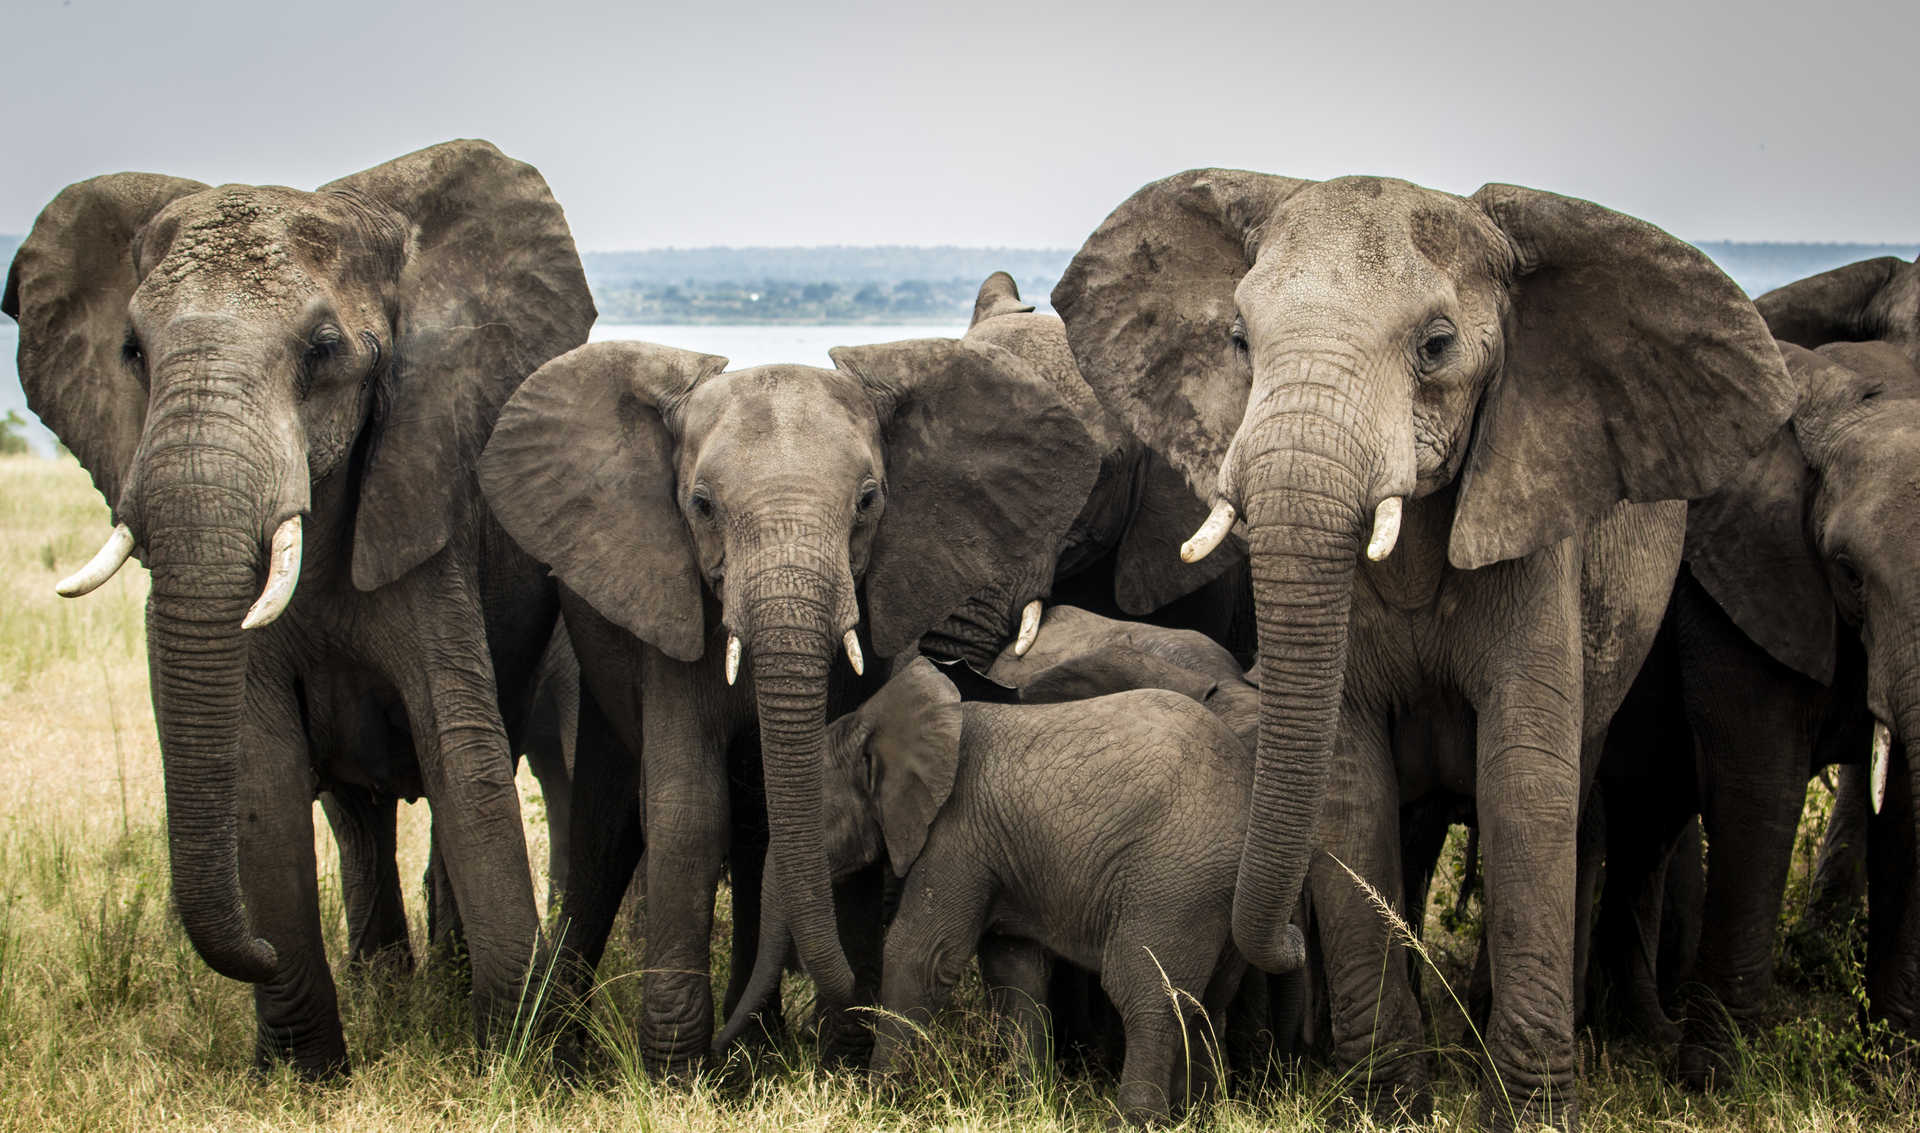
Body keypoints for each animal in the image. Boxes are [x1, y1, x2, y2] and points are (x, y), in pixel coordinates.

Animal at [2, 140, 596, 1075]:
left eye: (322, 350)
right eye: (131, 350)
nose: (256, 951)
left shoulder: (426, 500)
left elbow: (458, 748)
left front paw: (524, 1064)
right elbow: (261, 769)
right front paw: (303, 1074)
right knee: (355, 811)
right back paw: (387, 984)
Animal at [476, 336, 1099, 1069]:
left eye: (868, 500)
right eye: (701, 506)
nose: (854, 999)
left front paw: (842, 1058)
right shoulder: (675, 615)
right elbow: (688, 812)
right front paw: (676, 1073)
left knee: (751, 826)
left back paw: (757, 1046)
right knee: (610, 826)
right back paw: (569, 1050)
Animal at [720, 657, 1250, 1125]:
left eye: (820, 818)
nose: (718, 1049)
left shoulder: (956, 836)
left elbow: (921, 954)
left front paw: (877, 1103)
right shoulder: (999, 851)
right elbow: (1014, 968)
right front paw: (1027, 1103)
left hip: (1173, 883)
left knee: (1145, 993)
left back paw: (1135, 1122)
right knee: (1209, 1003)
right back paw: (1202, 1114)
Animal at [1051, 170, 1800, 1128]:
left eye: (1437, 345)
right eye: (1238, 340)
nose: (1284, 939)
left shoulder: (1535, 522)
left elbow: (1525, 779)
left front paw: (1528, 1113)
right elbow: (1349, 783)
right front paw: (1383, 1105)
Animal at [1590, 338, 1920, 1082]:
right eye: (1849, 572)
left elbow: (1905, 812)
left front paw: (1892, 1072)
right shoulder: (1735, 582)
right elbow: (1760, 790)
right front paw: (1713, 1080)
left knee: (1645, 825)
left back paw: (1638, 1031)